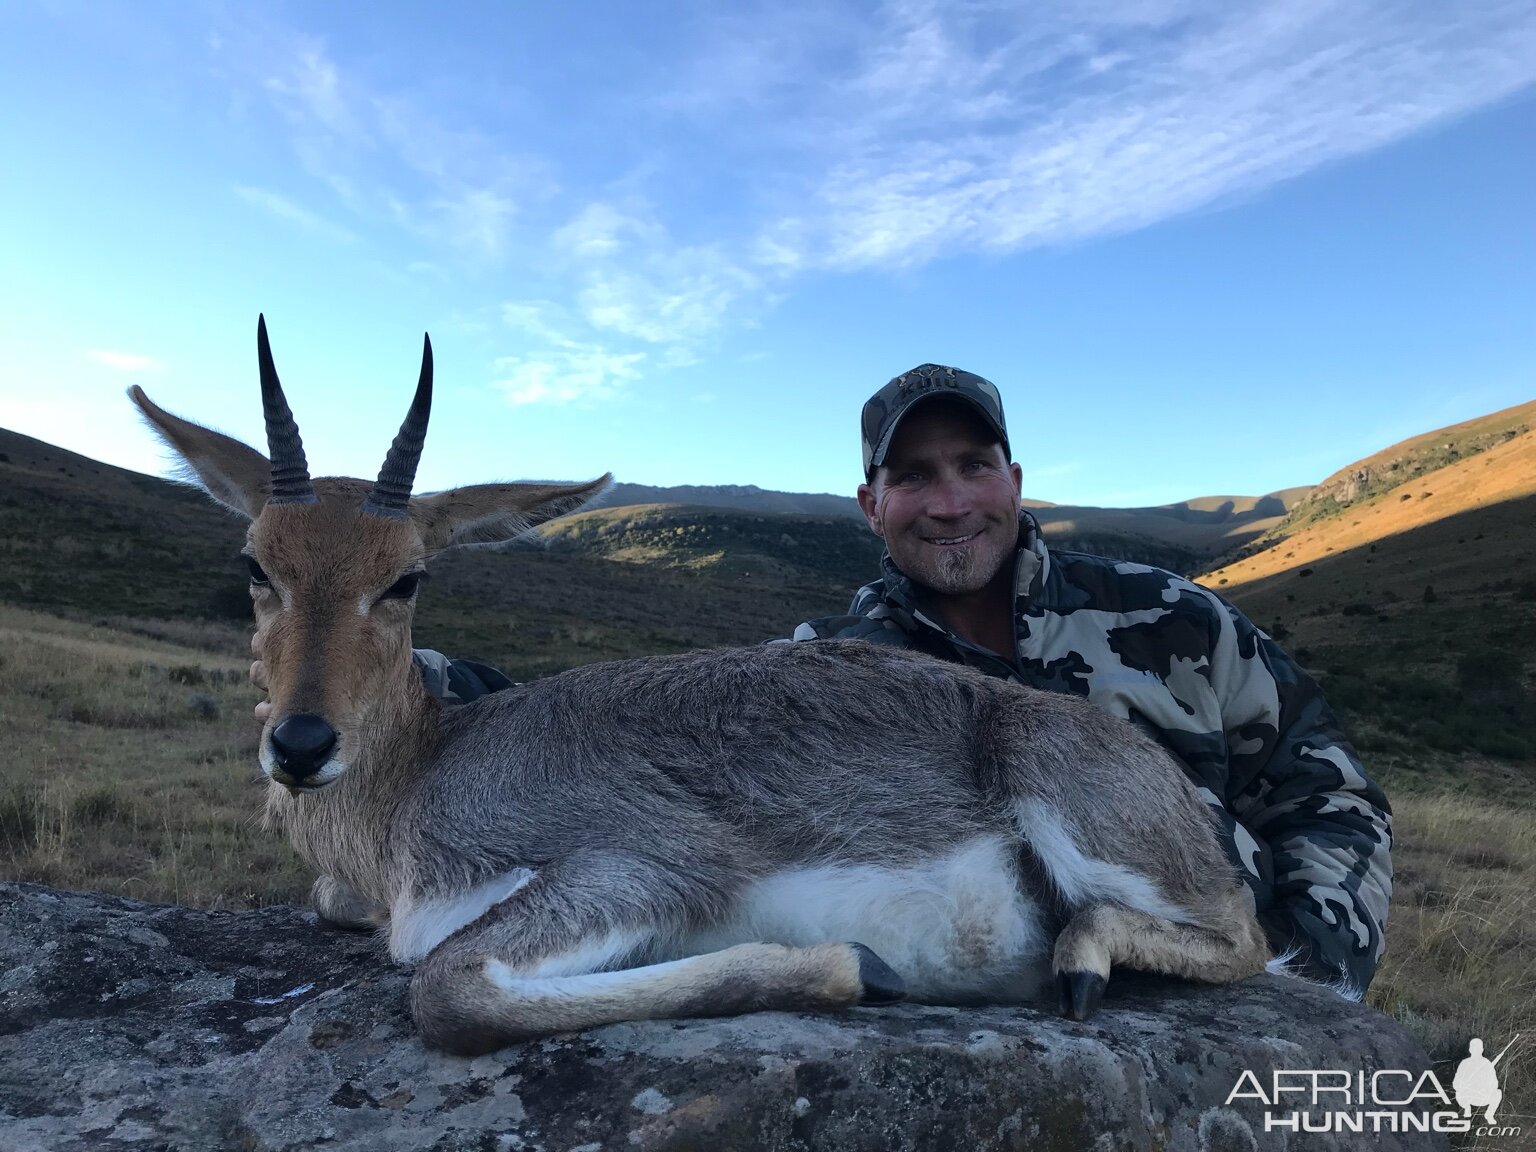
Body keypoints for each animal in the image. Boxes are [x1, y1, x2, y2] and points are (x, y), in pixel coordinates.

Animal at [129, 316, 1271, 1056]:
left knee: (1248, 940)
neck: (422, 773)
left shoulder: (645, 868)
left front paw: (859, 968)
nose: (300, 744)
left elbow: (446, 992)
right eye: (256, 564)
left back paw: (1077, 960)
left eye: (405, 577)